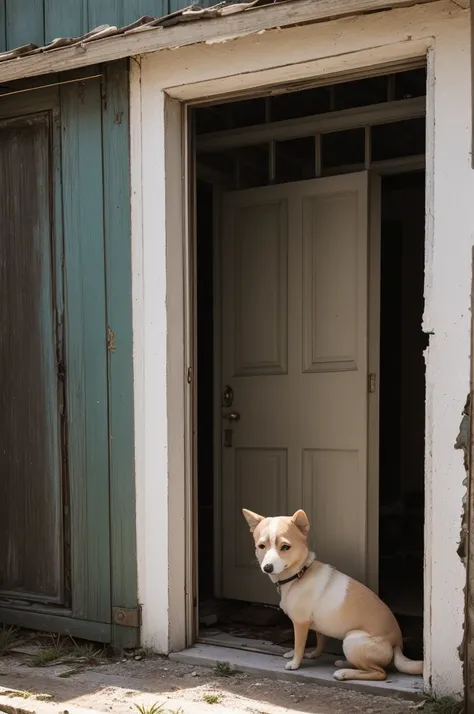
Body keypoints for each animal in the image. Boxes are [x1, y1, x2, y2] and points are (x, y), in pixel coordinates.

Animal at [243, 506, 424, 680]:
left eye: (285, 547)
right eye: (261, 546)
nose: (267, 567)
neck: (300, 574)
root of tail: (397, 644)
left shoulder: (300, 624)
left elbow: (299, 645)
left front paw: (295, 663)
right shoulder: (316, 625)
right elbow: (319, 642)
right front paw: (312, 654)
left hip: (352, 640)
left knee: (379, 673)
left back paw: (344, 673)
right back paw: (344, 663)